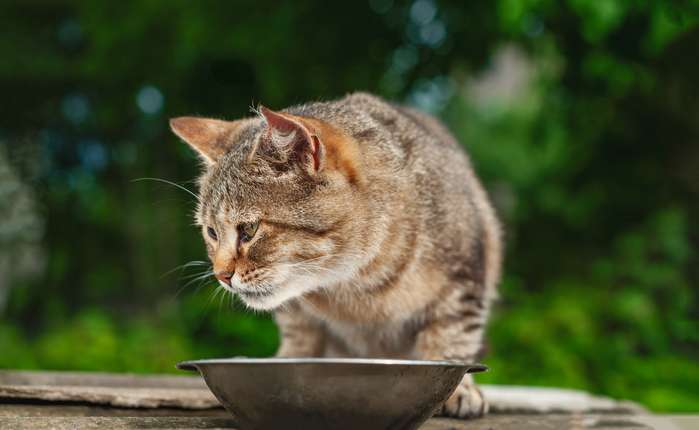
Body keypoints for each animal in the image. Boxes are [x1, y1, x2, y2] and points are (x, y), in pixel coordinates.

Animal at [172, 91, 500, 416]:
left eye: (249, 229)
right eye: (212, 232)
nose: (221, 275)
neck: (356, 283)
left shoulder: (465, 280)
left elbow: (452, 339)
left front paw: (460, 389)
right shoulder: (297, 312)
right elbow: (299, 338)